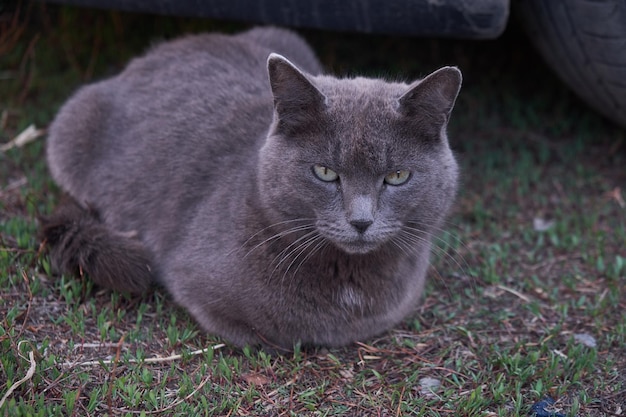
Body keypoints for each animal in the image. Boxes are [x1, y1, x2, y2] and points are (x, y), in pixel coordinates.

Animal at [39, 26, 458, 348]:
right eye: (325, 172)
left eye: (397, 176)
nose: (361, 221)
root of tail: (157, 52)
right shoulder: (198, 286)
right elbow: (261, 333)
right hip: (72, 127)